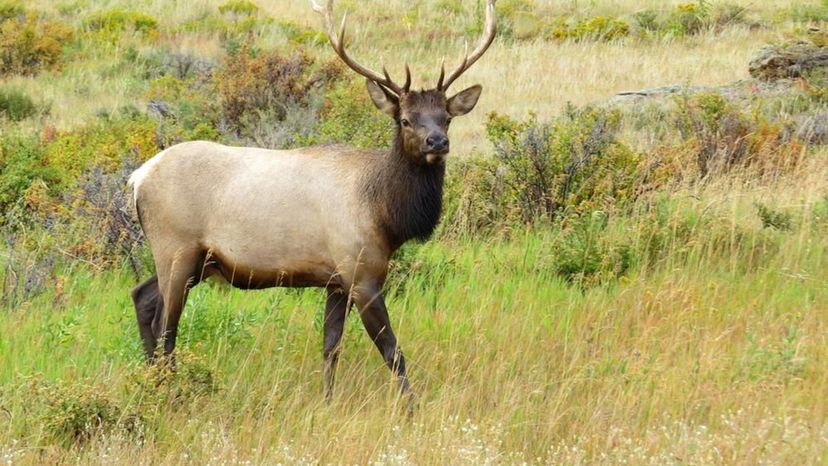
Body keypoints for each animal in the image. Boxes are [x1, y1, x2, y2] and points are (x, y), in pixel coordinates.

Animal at [129, 0, 498, 400]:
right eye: (405, 119)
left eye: (445, 117)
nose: (438, 142)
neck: (383, 215)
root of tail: (137, 178)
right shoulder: (361, 272)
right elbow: (393, 351)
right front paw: (410, 406)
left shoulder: (336, 280)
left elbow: (330, 347)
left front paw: (327, 400)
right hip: (175, 248)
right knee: (166, 325)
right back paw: (169, 391)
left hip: (195, 259)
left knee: (142, 297)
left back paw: (153, 383)